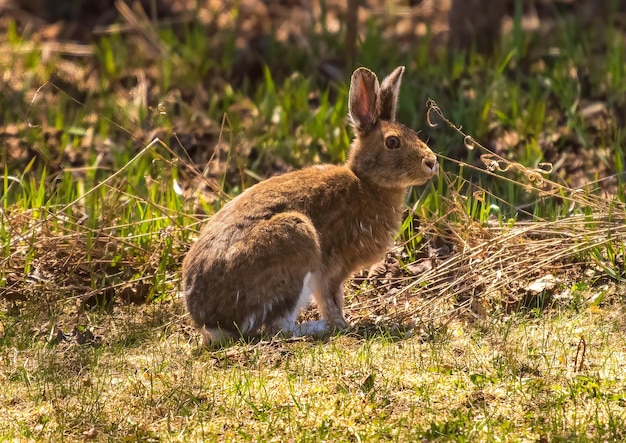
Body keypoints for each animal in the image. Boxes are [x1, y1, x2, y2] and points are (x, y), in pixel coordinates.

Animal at [180, 65, 436, 344]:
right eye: (392, 142)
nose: (431, 162)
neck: (367, 183)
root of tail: (210, 320)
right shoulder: (332, 269)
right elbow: (331, 299)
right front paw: (342, 325)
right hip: (295, 239)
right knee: (277, 327)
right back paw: (320, 327)